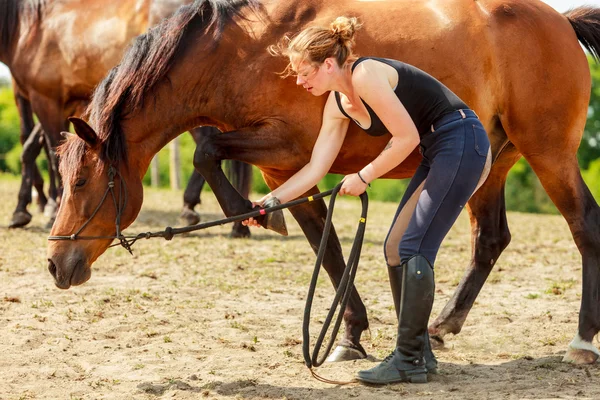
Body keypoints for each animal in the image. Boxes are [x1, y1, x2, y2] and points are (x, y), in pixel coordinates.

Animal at [0, 0, 248, 236]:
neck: (31, 25)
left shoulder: (46, 99)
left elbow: (50, 153)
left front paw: (48, 208)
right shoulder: (70, 105)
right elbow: (35, 146)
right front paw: (28, 208)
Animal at [49, 0, 600, 364]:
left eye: (82, 182)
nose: (56, 263)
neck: (245, 53)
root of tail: (561, 20)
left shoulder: (284, 148)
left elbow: (207, 152)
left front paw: (248, 214)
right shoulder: (288, 170)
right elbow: (329, 250)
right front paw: (350, 336)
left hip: (549, 153)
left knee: (584, 226)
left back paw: (581, 342)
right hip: (494, 164)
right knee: (490, 239)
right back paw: (442, 326)